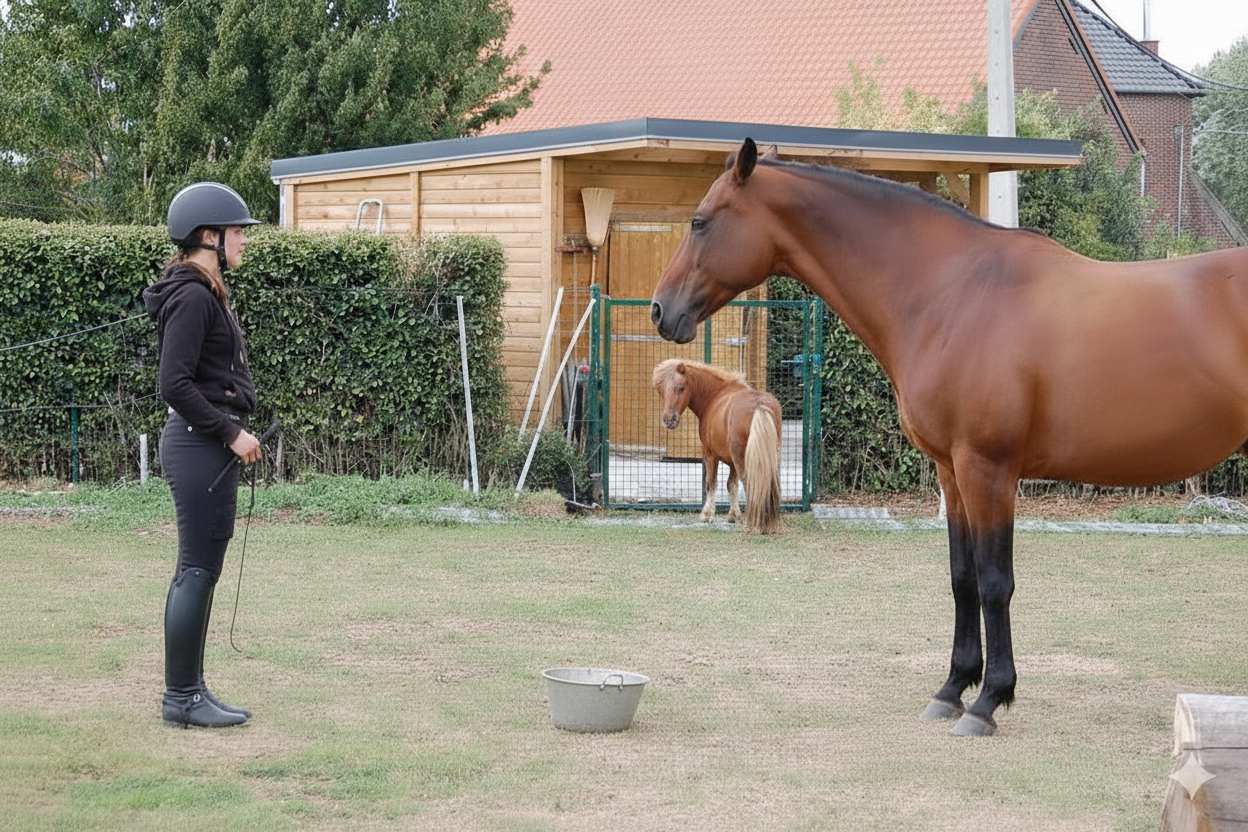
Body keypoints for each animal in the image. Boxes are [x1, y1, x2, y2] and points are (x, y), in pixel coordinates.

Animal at [652, 358, 784, 534]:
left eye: (681, 388)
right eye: (660, 390)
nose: (669, 419)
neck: (715, 394)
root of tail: (759, 406)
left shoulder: (709, 454)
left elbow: (711, 483)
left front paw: (707, 514)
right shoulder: (732, 461)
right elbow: (731, 485)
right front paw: (734, 516)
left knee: (749, 482)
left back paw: (752, 524)